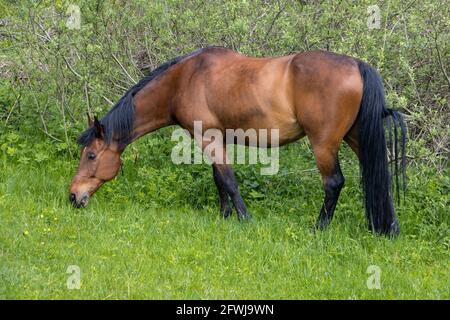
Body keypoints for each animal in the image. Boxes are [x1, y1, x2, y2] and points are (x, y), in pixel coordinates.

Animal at [69, 47, 408, 238]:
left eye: (91, 156)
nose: (73, 196)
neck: (184, 80)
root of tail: (357, 66)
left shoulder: (208, 137)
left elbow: (229, 180)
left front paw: (244, 219)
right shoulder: (217, 138)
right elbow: (218, 178)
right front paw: (224, 216)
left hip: (324, 143)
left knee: (334, 183)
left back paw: (319, 229)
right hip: (355, 137)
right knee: (376, 175)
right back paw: (388, 228)